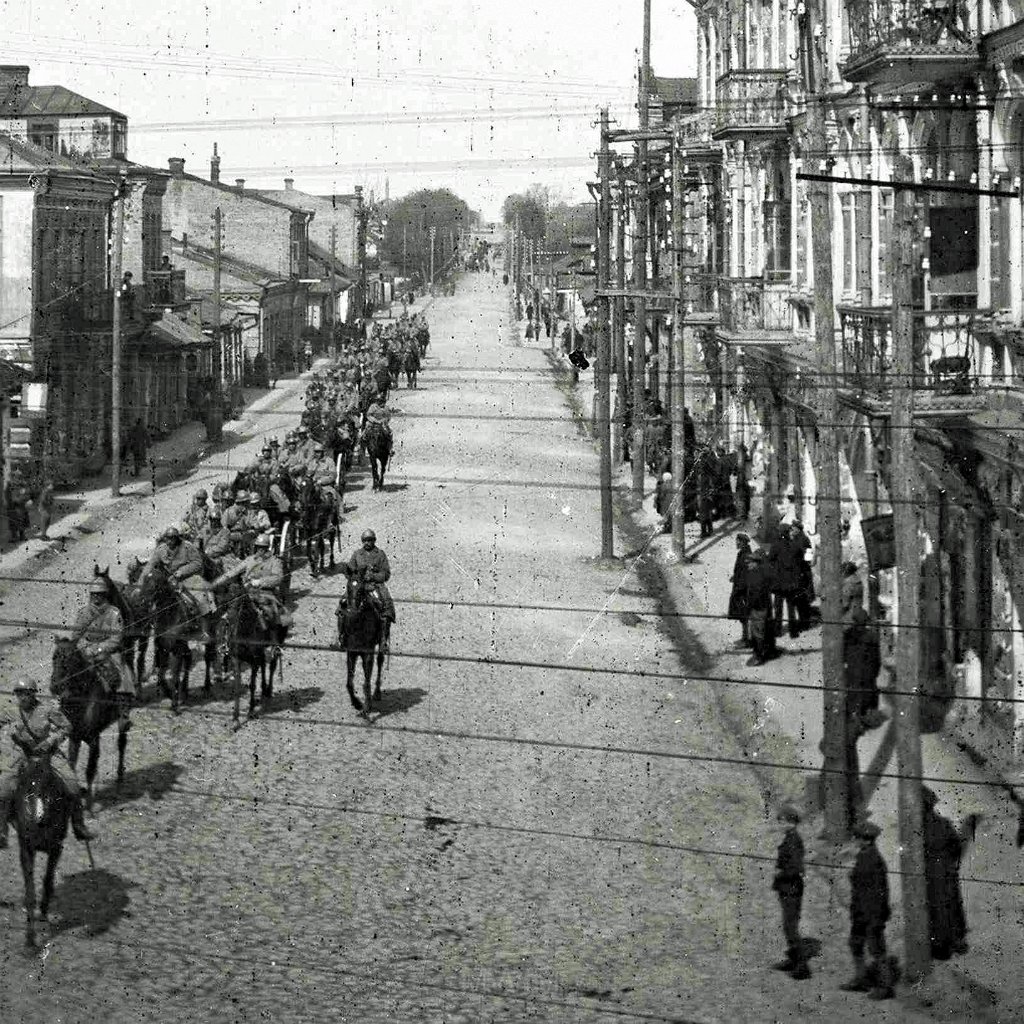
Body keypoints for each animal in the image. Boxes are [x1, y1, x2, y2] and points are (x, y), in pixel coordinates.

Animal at [12, 757, 73, 946]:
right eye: (26, 786)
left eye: (50, 784)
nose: (40, 818)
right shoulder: (26, 850)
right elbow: (30, 890)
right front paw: (30, 938)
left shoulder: (56, 849)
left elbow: (48, 879)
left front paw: (43, 915)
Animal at [51, 638, 130, 806]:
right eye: (54, 657)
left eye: (69, 660)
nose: (54, 686)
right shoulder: (74, 737)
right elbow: (72, 764)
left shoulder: (93, 739)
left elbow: (89, 770)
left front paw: (89, 804)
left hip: (123, 719)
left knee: (121, 744)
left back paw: (120, 776)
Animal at [137, 561, 217, 712]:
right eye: (144, 579)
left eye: (157, 582)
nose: (142, 601)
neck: (170, 615)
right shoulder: (163, 648)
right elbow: (161, 673)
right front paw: (169, 693)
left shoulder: (176, 651)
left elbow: (174, 675)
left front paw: (174, 704)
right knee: (189, 657)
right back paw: (184, 691)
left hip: (208, 635)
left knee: (207, 657)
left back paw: (207, 686)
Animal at [335, 565, 387, 716]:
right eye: (348, 587)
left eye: (361, 589)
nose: (351, 610)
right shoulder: (351, 652)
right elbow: (349, 682)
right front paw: (356, 703)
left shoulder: (367, 653)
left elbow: (366, 680)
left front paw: (367, 707)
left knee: (380, 661)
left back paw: (377, 693)